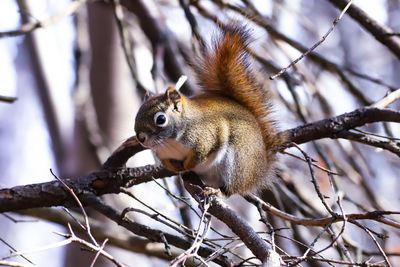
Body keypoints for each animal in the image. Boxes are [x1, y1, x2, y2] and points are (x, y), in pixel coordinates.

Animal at [135, 24, 284, 197]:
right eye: (136, 116)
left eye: (160, 119)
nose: (140, 138)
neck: (170, 142)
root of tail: (260, 170)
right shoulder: (163, 155)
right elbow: (168, 163)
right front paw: (177, 168)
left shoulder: (207, 136)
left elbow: (201, 155)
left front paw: (187, 165)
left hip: (237, 162)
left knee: (230, 189)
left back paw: (215, 191)